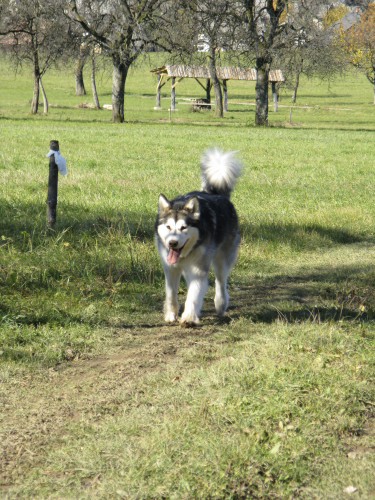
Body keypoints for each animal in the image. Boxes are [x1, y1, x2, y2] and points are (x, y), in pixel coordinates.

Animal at [156, 148, 244, 326]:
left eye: (183, 227)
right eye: (168, 227)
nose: (173, 243)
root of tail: (218, 195)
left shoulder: (198, 269)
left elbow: (194, 293)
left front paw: (189, 317)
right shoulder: (170, 268)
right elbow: (171, 293)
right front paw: (171, 314)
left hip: (222, 259)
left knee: (220, 281)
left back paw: (220, 304)